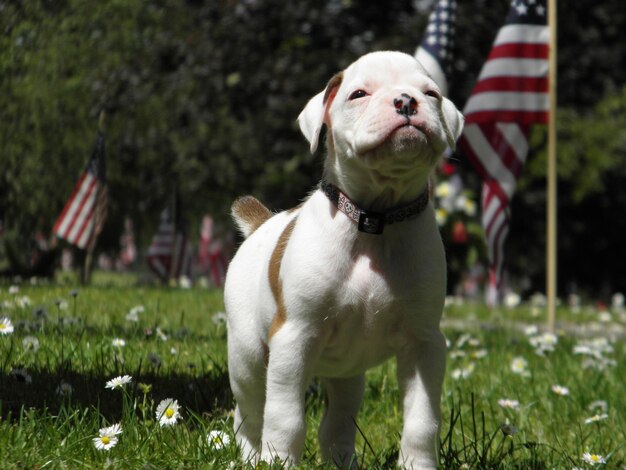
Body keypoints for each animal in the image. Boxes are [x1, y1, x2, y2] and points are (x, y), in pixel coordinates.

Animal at [224, 49, 464, 468]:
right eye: (359, 94)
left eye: (431, 93)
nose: (406, 101)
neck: (376, 220)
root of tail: (260, 225)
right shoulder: (294, 336)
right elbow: (284, 417)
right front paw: (279, 460)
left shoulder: (424, 344)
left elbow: (422, 420)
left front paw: (418, 463)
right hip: (247, 356)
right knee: (250, 411)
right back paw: (252, 456)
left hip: (346, 371)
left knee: (338, 417)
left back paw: (342, 459)